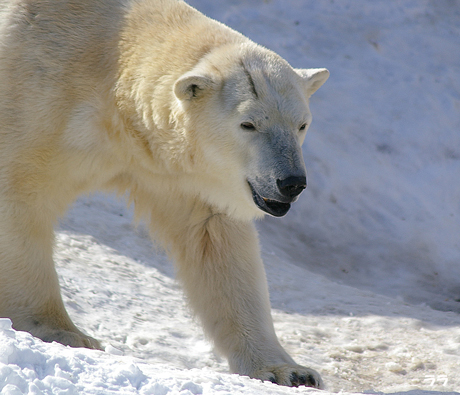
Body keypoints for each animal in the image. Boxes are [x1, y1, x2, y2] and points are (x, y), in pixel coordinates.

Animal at [0, 0, 330, 390]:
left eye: (302, 124)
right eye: (248, 124)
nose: (290, 182)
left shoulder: (176, 176)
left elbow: (217, 244)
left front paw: (290, 371)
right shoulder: (35, 96)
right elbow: (19, 196)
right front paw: (65, 332)